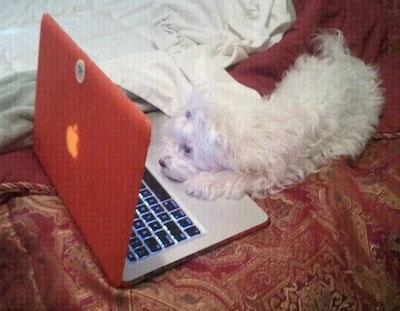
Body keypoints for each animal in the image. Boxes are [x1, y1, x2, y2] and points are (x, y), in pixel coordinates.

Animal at [159, 30, 384, 201]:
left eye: (188, 149)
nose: (161, 162)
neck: (241, 136)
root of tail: (348, 61)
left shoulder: (267, 174)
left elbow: (232, 178)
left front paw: (200, 182)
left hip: (355, 129)